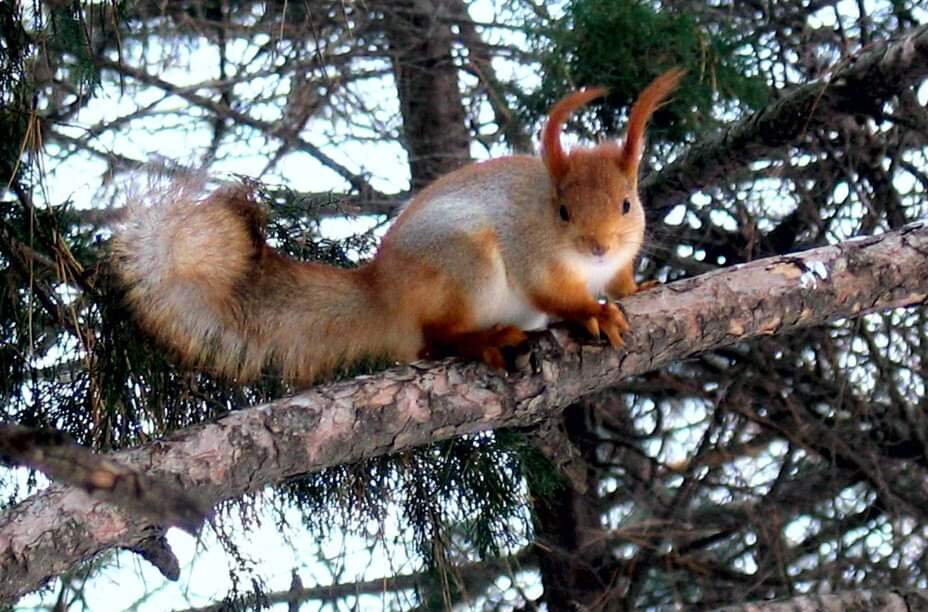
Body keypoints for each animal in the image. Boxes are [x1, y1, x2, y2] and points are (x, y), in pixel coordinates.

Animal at [114, 67, 680, 382]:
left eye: (628, 204)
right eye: (562, 210)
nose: (597, 246)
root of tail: (383, 291)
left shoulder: (618, 261)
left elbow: (623, 282)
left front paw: (639, 288)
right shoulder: (533, 254)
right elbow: (556, 294)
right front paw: (593, 312)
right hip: (465, 262)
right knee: (437, 336)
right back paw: (485, 340)